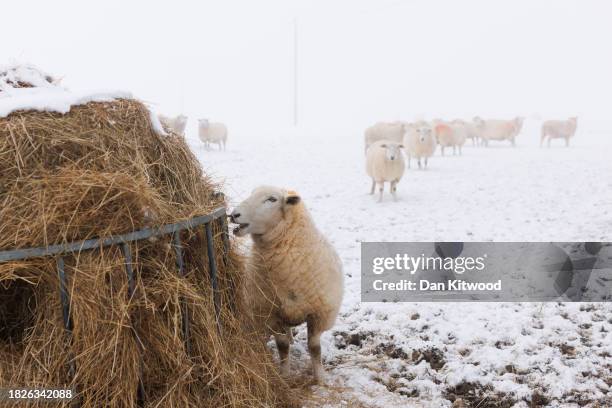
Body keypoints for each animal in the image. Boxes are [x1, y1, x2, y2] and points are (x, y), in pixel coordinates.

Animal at [231, 186, 344, 384]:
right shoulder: (271, 313)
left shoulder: (318, 314)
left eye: (272, 199)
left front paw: (320, 377)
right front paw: (284, 374)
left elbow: (314, 348)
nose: (234, 214)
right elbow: (282, 347)